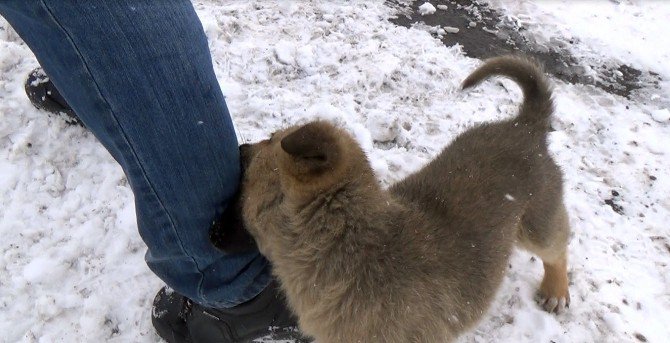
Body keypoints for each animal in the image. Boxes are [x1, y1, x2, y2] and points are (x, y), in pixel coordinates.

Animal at [239, 55, 568, 342]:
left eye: (270, 138)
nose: (241, 148)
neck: (351, 239)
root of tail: (526, 125)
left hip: (537, 223)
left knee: (558, 247)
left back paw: (556, 292)